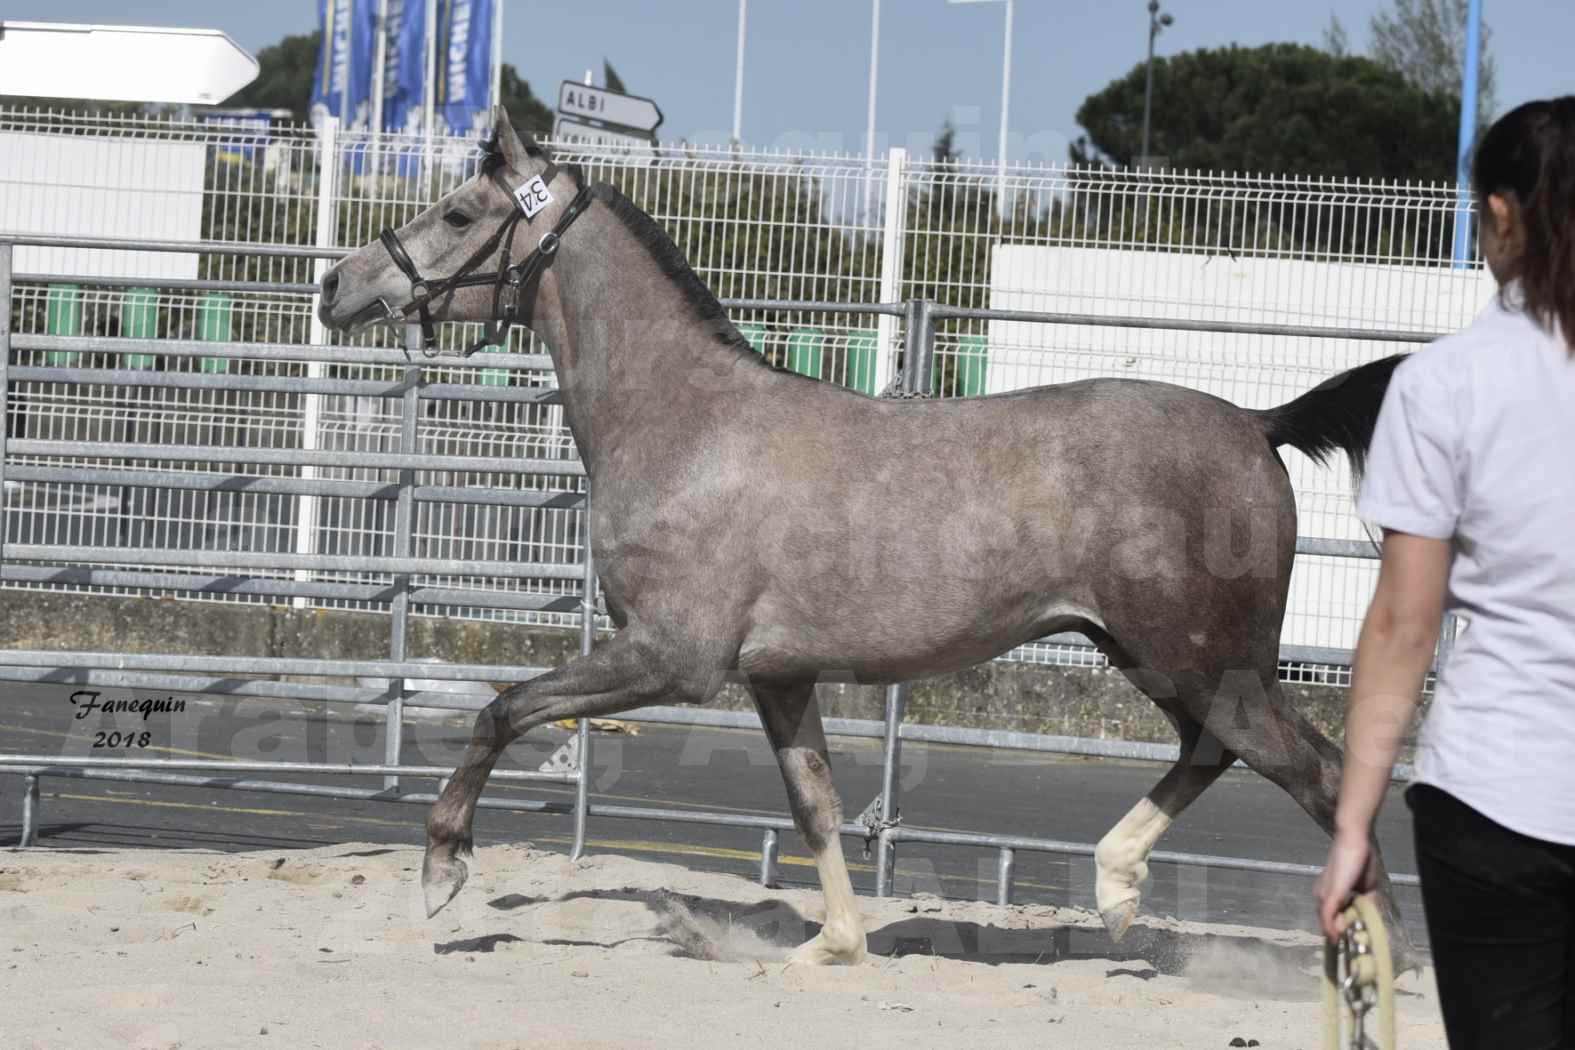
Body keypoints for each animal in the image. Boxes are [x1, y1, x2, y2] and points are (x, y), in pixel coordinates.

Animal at [319, 113, 1417, 969]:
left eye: (460, 213)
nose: (341, 285)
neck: (686, 424)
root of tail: (1257, 425)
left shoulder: (673, 658)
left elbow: (504, 710)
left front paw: (443, 870)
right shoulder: (777, 676)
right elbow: (815, 803)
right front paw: (833, 944)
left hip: (1203, 661)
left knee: (1314, 776)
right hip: (1153, 655)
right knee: (1215, 754)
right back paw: (1114, 891)